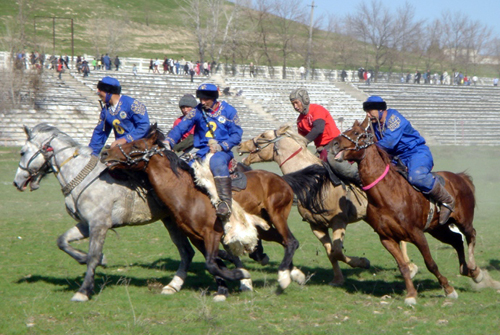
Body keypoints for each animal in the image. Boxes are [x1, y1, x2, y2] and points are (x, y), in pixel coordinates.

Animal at [100, 126, 304, 302]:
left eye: (136, 145)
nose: (105, 153)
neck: (188, 193)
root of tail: (281, 179)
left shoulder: (211, 233)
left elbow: (211, 263)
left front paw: (240, 275)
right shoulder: (196, 237)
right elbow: (215, 263)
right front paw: (223, 289)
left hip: (277, 215)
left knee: (291, 241)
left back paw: (284, 277)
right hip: (264, 227)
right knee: (284, 241)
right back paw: (295, 274)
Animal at [238, 124, 418, 288]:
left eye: (263, 135)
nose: (241, 145)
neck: (315, 183)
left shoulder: (339, 222)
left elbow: (337, 251)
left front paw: (362, 262)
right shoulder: (317, 226)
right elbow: (331, 253)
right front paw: (338, 279)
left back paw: (410, 267)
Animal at [328, 119, 496, 308]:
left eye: (357, 133)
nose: (333, 144)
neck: (387, 193)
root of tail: (461, 177)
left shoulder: (417, 234)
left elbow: (430, 263)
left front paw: (448, 289)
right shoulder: (387, 238)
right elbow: (403, 267)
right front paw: (411, 294)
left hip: (463, 220)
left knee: (470, 235)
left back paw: (475, 271)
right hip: (438, 228)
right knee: (456, 240)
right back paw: (468, 270)